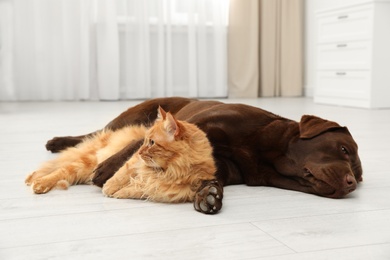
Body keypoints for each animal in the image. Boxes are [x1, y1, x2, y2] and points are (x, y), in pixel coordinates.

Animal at [25, 107, 218, 203]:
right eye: (144, 141)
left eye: (152, 142)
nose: (139, 150)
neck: (170, 169)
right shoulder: (132, 163)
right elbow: (120, 175)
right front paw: (109, 188)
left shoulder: (166, 189)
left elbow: (139, 189)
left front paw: (120, 193)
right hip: (87, 161)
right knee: (59, 169)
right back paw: (38, 182)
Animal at [45, 97, 362, 213]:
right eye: (343, 148)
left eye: (359, 177)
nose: (350, 184)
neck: (265, 152)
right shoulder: (197, 124)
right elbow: (136, 146)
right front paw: (107, 169)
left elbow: (207, 175)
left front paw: (209, 194)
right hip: (131, 116)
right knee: (99, 135)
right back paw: (56, 142)